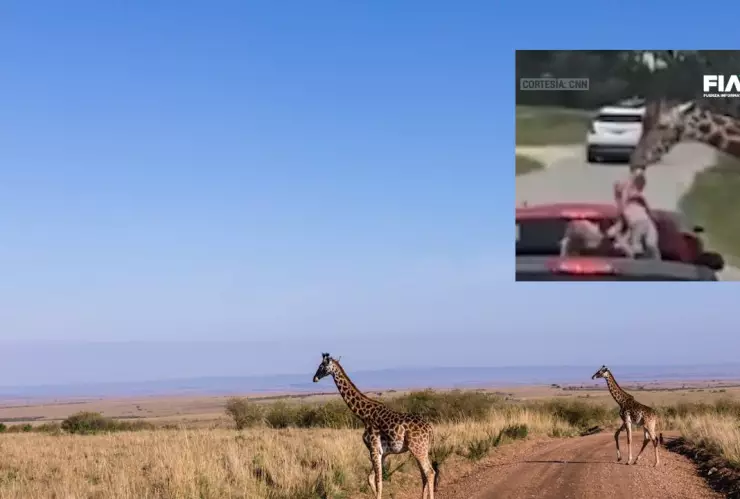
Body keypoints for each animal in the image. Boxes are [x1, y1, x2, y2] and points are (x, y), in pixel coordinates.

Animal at [312, 353, 439, 499]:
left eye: (321, 366)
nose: (314, 378)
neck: (363, 415)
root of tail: (430, 428)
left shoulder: (373, 448)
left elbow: (379, 481)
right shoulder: (381, 452)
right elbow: (371, 478)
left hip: (418, 448)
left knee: (430, 472)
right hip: (421, 449)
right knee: (424, 474)